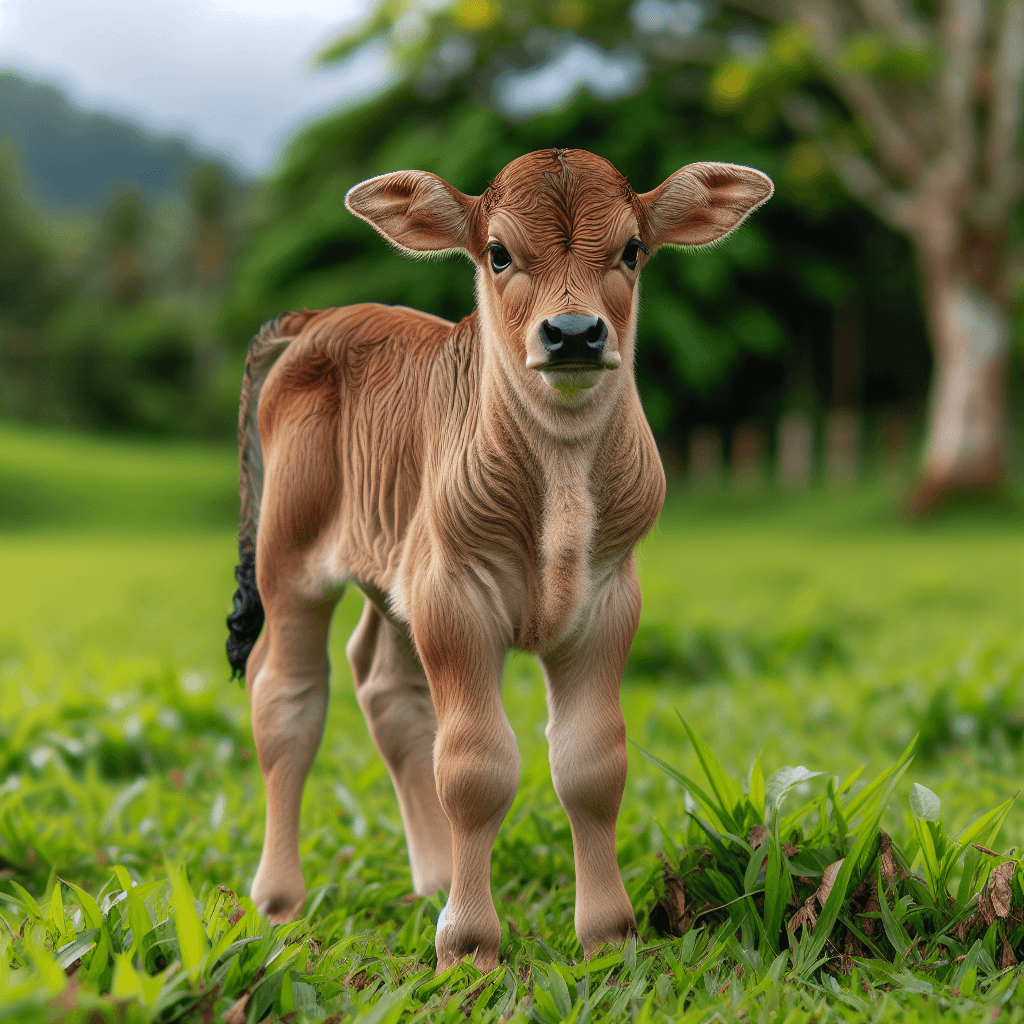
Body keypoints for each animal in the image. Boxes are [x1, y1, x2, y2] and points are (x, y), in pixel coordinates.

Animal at [226, 148, 773, 972]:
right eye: (499, 253)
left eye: (632, 250)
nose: (574, 333)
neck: (560, 474)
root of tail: (324, 317)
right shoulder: (454, 595)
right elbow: (476, 765)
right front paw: (469, 944)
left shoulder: (607, 599)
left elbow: (592, 763)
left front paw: (609, 937)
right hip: (290, 561)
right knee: (287, 698)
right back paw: (281, 900)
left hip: (396, 571)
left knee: (386, 687)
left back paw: (435, 880)